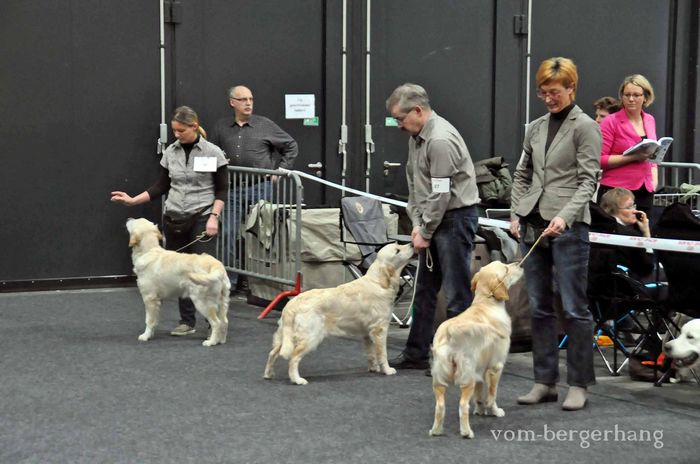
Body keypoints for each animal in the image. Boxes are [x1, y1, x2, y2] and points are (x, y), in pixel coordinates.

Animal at [262, 243, 416, 384]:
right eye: (397, 250)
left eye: (399, 244)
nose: (412, 244)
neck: (379, 282)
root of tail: (291, 304)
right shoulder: (379, 329)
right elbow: (382, 353)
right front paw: (387, 370)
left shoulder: (367, 332)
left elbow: (371, 353)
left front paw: (373, 368)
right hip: (310, 337)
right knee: (293, 358)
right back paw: (297, 379)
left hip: (285, 336)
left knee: (272, 353)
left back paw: (268, 374)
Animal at [430, 260, 524, 438]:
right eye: (506, 268)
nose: (519, 263)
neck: (486, 303)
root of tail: (450, 331)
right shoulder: (495, 367)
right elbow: (492, 395)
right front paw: (495, 411)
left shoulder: (479, 371)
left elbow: (480, 396)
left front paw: (480, 410)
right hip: (467, 377)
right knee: (462, 406)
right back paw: (467, 432)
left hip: (440, 378)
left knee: (439, 406)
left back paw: (436, 431)